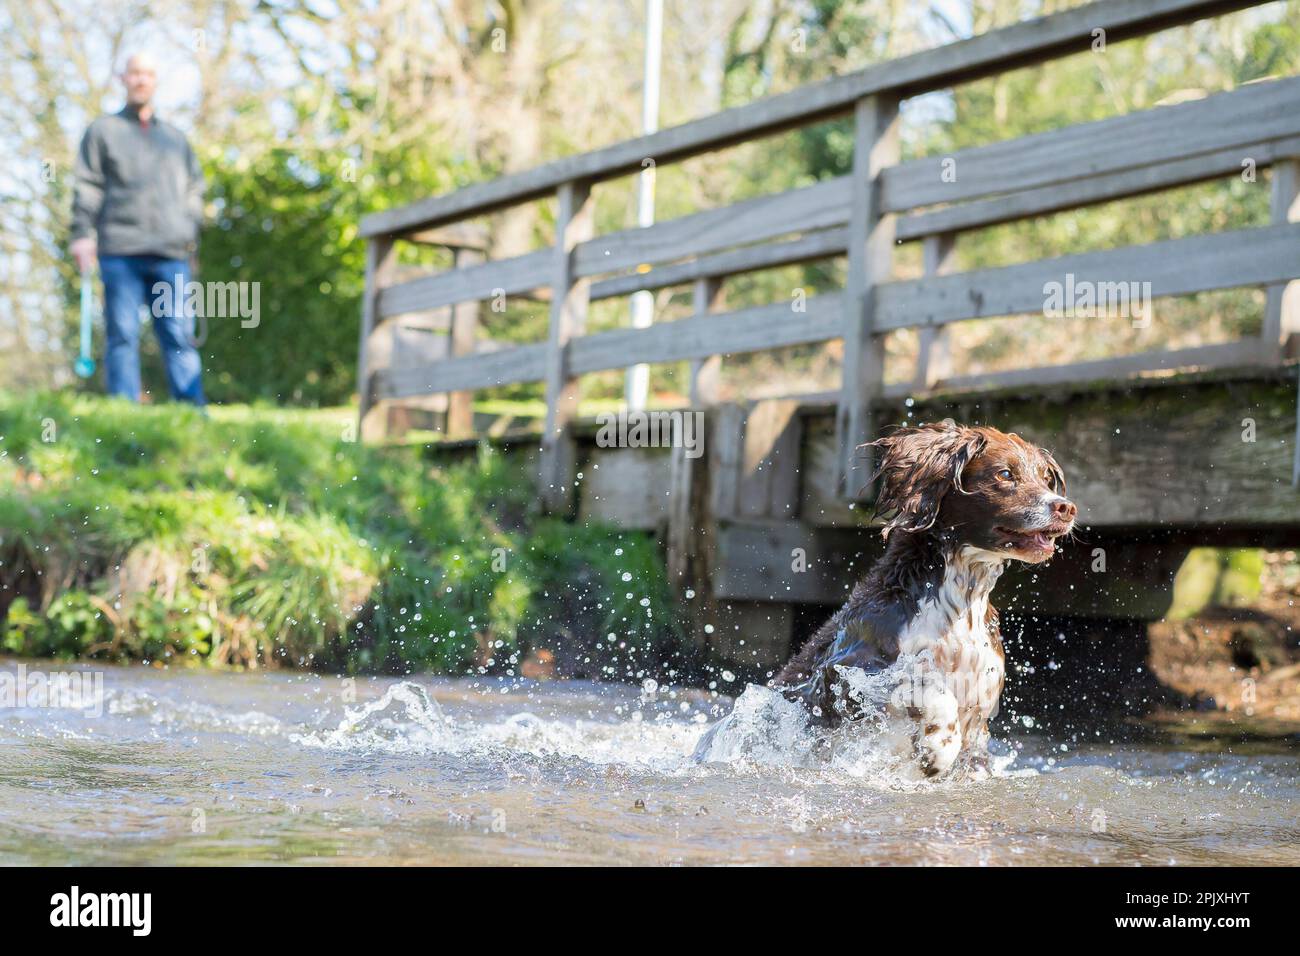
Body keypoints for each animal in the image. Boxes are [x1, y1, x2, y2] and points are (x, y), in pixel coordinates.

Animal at [769, 421, 1076, 780]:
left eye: (1045, 479)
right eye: (1004, 474)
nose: (1065, 507)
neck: (959, 604)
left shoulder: (981, 704)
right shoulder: (842, 671)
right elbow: (923, 680)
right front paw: (938, 748)